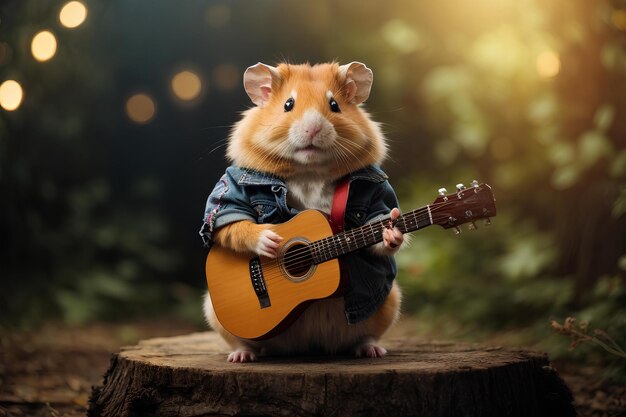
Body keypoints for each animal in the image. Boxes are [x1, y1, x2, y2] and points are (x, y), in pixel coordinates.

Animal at [202, 61, 402, 360]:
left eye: (334, 105)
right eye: (288, 104)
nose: (313, 129)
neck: (309, 169)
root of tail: (307, 346)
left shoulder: (378, 197)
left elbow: (378, 226)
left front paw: (392, 233)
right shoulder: (228, 195)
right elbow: (228, 222)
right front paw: (268, 241)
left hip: (389, 303)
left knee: (365, 336)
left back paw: (372, 350)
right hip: (214, 312)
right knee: (243, 343)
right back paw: (242, 356)